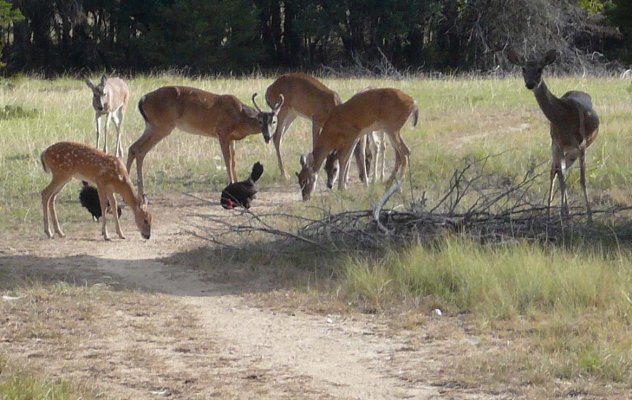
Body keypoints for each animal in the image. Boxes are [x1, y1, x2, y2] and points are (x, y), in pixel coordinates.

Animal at [126, 86, 282, 196]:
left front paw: (238, 186)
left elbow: (233, 161)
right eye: (260, 121)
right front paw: (230, 185)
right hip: (162, 125)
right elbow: (227, 160)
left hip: (151, 125)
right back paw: (139, 193)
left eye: (274, 121)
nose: (268, 137)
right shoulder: (222, 132)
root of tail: (142, 99)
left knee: (133, 148)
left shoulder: (232, 138)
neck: (239, 117)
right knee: (140, 150)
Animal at [506, 48, 600, 222]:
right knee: (555, 171)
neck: (564, 119)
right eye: (523, 68)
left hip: (574, 151)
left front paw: (589, 217)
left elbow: (582, 179)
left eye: (540, 69)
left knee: (561, 170)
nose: (530, 84)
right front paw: (566, 213)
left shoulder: (581, 144)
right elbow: (561, 177)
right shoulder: (558, 143)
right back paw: (550, 212)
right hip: (559, 148)